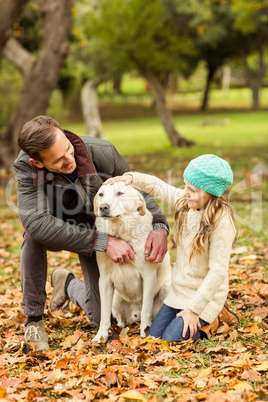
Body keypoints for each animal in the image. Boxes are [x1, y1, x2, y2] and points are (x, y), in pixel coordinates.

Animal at [93, 182, 171, 342]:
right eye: (101, 194)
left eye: (119, 193)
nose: (103, 207)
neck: (121, 231)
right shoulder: (104, 280)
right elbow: (104, 315)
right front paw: (101, 336)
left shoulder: (148, 276)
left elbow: (146, 309)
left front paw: (145, 335)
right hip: (116, 300)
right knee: (121, 320)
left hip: (166, 289)